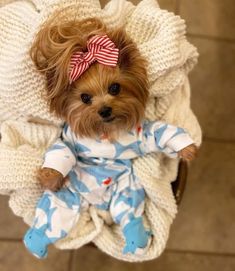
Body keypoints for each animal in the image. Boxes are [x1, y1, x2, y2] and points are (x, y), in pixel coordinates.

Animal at [30, 15, 197, 192]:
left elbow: (160, 132)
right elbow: (62, 149)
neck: (106, 131)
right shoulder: (69, 138)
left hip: (126, 188)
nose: (104, 111)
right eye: (85, 98)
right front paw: (50, 179)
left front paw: (187, 149)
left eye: (115, 87)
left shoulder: (141, 136)